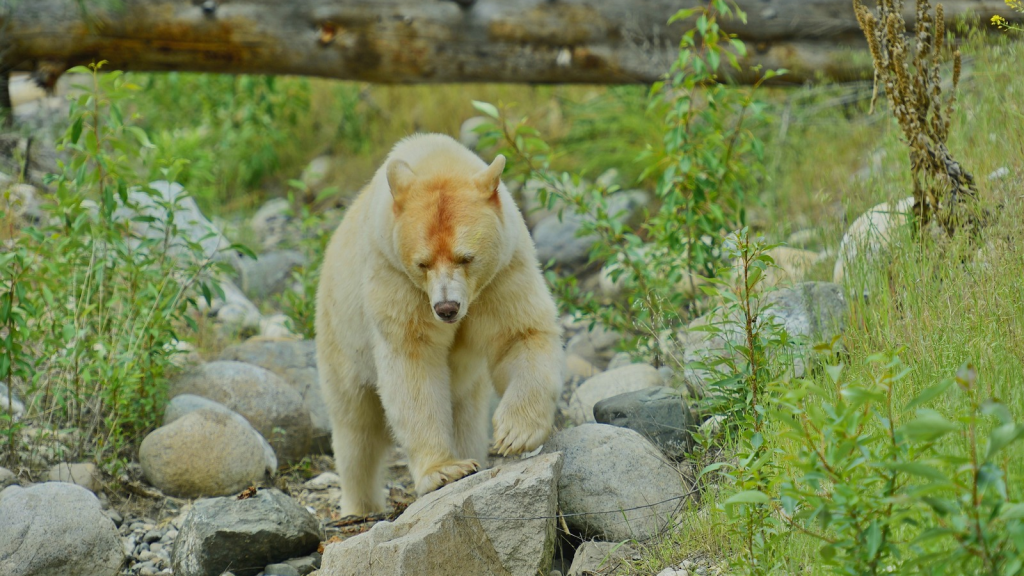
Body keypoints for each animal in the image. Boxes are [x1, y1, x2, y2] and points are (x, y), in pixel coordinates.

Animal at [315, 132, 565, 512]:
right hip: (340, 337)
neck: (433, 157)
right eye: (423, 263)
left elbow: (518, 333)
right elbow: (412, 362)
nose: (447, 307)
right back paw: (361, 505)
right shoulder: (394, 277)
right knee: (356, 428)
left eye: (466, 257)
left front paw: (514, 433)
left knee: (466, 413)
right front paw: (445, 470)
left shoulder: (503, 272)